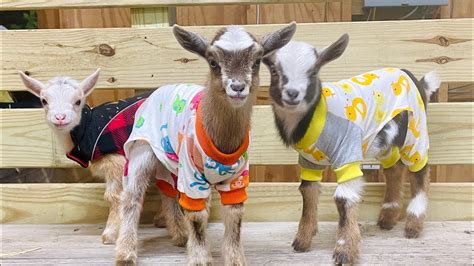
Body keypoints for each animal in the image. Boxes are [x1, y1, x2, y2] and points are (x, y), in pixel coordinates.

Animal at [262, 35, 438, 264]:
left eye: (313, 71)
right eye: (275, 71)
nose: (293, 93)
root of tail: (415, 80)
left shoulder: (347, 153)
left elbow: (344, 200)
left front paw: (344, 250)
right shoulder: (309, 162)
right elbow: (308, 193)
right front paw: (302, 240)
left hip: (415, 130)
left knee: (420, 171)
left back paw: (413, 225)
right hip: (384, 140)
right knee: (394, 169)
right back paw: (388, 217)